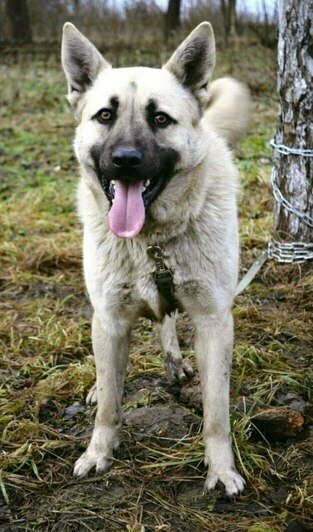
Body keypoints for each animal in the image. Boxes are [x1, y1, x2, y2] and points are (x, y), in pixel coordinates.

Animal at [62, 19, 250, 494]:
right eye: (105, 116)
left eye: (160, 119)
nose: (125, 160)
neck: (151, 241)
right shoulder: (109, 320)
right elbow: (110, 405)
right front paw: (98, 452)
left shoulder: (213, 322)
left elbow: (216, 411)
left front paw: (221, 468)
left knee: (166, 320)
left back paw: (174, 362)